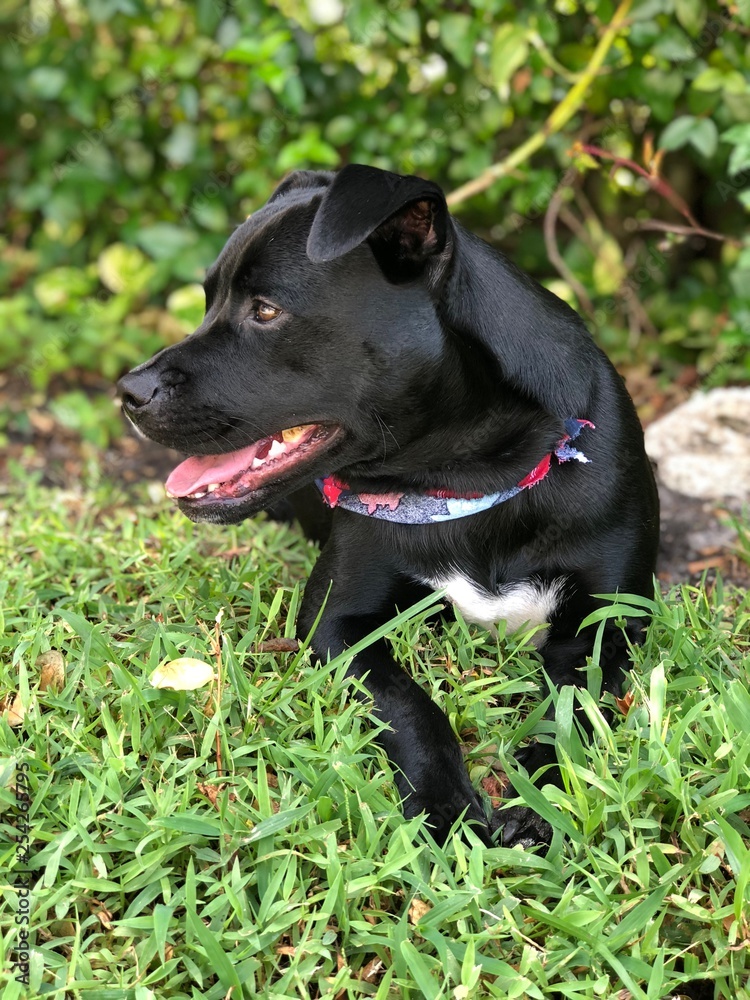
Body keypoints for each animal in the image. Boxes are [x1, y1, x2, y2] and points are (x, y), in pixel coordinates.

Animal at [116, 166, 656, 852]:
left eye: (265, 310)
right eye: (208, 299)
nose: (128, 390)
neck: (472, 475)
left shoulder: (607, 625)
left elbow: (569, 713)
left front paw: (542, 800)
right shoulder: (338, 622)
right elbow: (411, 707)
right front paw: (446, 807)